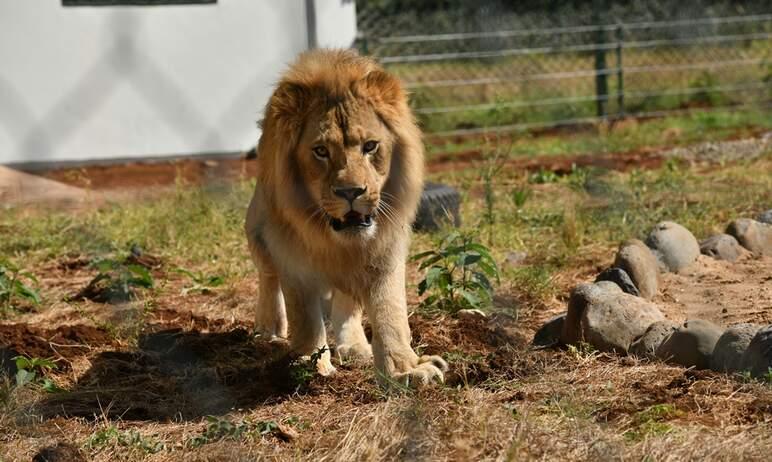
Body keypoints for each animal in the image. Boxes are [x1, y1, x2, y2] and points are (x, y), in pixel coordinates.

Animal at [244, 48, 450, 386]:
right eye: (320, 151)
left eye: (370, 146)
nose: (351, 192)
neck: (337, 240)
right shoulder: (291, 254)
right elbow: (304, 315)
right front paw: (309, 362)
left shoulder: (384, 251)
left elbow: (391, 312)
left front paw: (405, 369)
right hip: (259, 232)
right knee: (269, 277)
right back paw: (269, 329)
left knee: (347, 299)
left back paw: (353, 345)